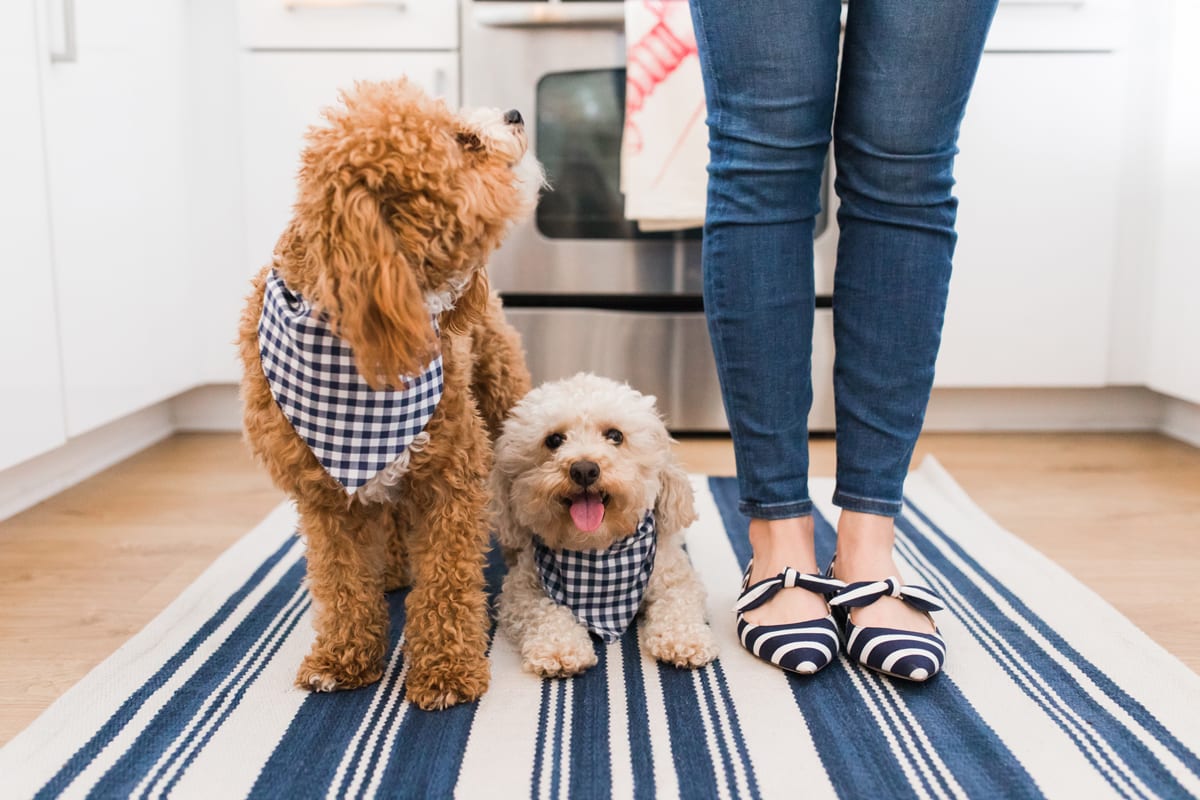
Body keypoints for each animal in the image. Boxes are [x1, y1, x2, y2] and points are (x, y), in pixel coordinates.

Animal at [489, 374, 715, 676]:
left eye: (615, 435)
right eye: (554, 440)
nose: (584, 469)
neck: (598, 552)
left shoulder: (674, 577)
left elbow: (678, 604)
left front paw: (684, 639)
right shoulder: (520, 589)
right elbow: (546, 611)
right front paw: (559, 648)